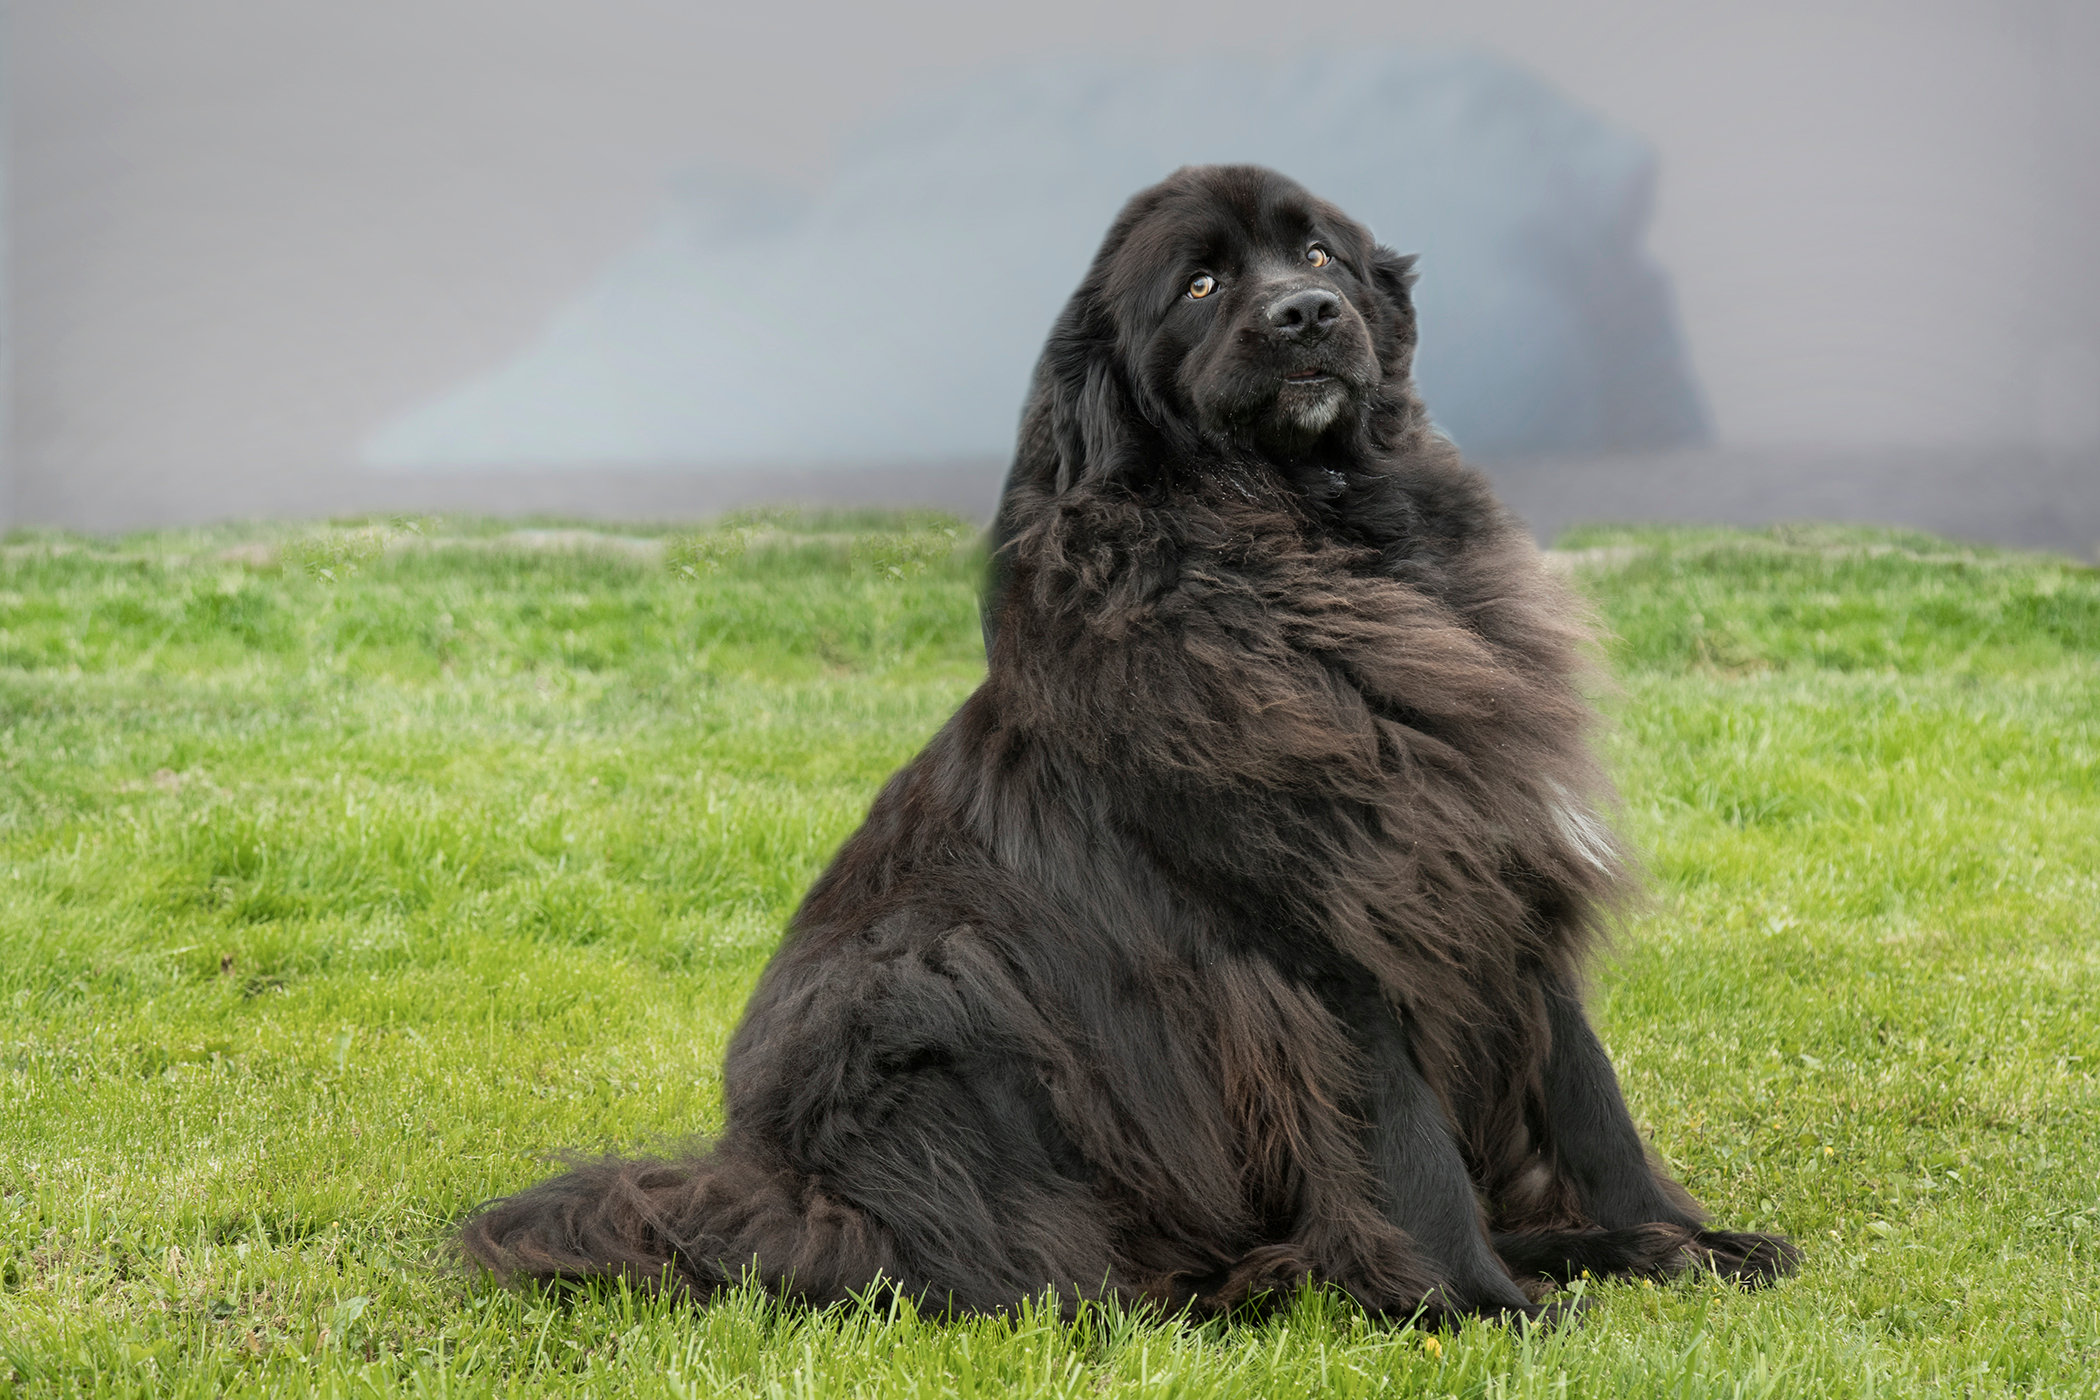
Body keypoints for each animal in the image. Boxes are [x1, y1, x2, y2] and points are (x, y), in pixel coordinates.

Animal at [468, 164, 1797, 1326]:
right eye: (1201, 286)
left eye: (1320, 255)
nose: (1306, 312)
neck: (1314, 547)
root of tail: (763, 1186)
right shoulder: (1320, 937)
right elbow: (1406, 1142)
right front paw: (1476, 1304)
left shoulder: (1494, 871)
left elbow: (1589, 1095)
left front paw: (1676, 1236)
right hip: (930, 986)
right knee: (1024, 1263)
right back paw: (1260, 1279)